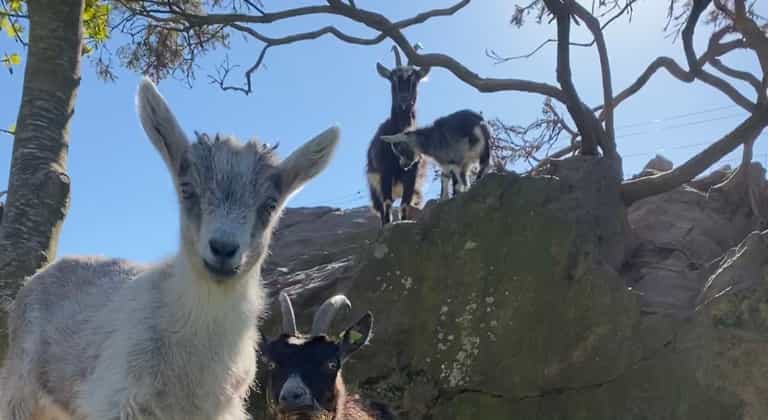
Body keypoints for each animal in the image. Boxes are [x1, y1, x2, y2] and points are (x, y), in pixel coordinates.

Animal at [366, 46, 429, 226]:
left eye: (415, 79)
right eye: (392, 79)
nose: (404, 99)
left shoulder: (412, 173)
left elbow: (405, 204)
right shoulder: (385, 172)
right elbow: (387, 204)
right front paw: (387, 226)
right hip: (374, 186)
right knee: (381, 207)